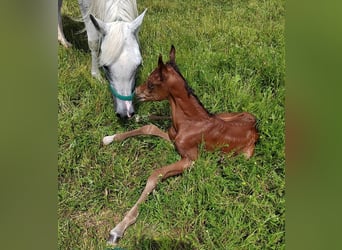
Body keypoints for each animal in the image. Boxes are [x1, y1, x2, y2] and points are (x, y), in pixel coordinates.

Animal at [103, 45, 258, 244]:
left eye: (151, 84)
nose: (135, 92)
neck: (189, 122)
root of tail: (255, 127)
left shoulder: (189, 160)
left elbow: (155, 175)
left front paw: (118, 229)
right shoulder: (172, 138)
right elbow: (149, 127)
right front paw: (109, 138)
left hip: (244, 155)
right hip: (224, 114)